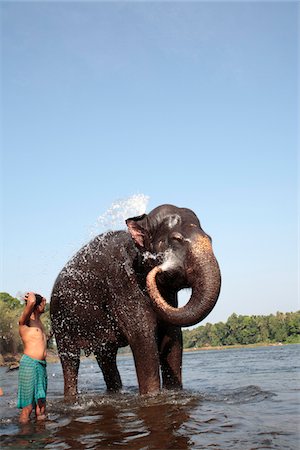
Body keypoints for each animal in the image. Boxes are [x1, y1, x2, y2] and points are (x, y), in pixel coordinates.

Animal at [50, 204, 221, 398]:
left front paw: (174, 393)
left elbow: (174, 339)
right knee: (70, 360)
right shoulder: (124, 287)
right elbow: (143, 339)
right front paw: (151, 396)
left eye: (210, 238)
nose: (160, 269)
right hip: (60, 322)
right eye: (176, 239)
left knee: (106, 357)